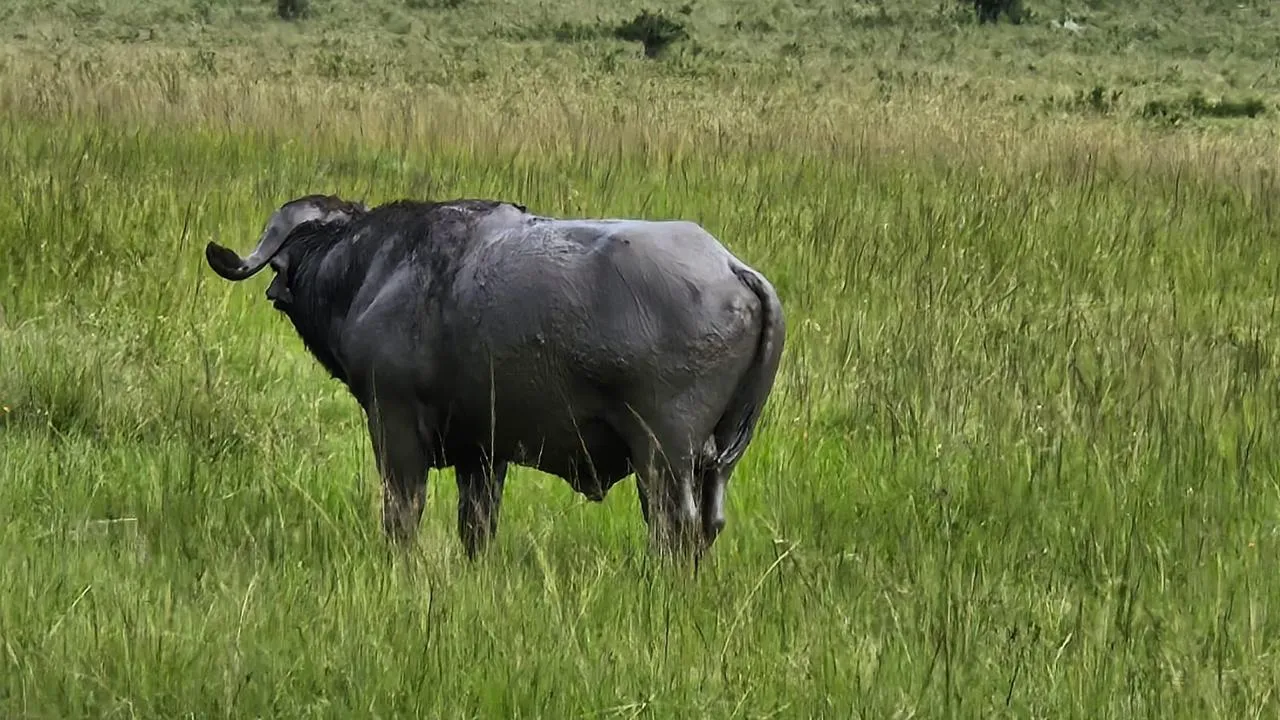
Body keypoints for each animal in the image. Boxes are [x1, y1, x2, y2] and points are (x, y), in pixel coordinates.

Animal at [206, 193, 783, 558]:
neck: (372, 268)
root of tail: (733, 269)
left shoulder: (393, 425)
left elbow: (402, 515)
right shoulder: (482, 453)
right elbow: (477, 527)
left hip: (664, 453)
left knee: (673, 526)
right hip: (714, 462)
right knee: (706, 524)